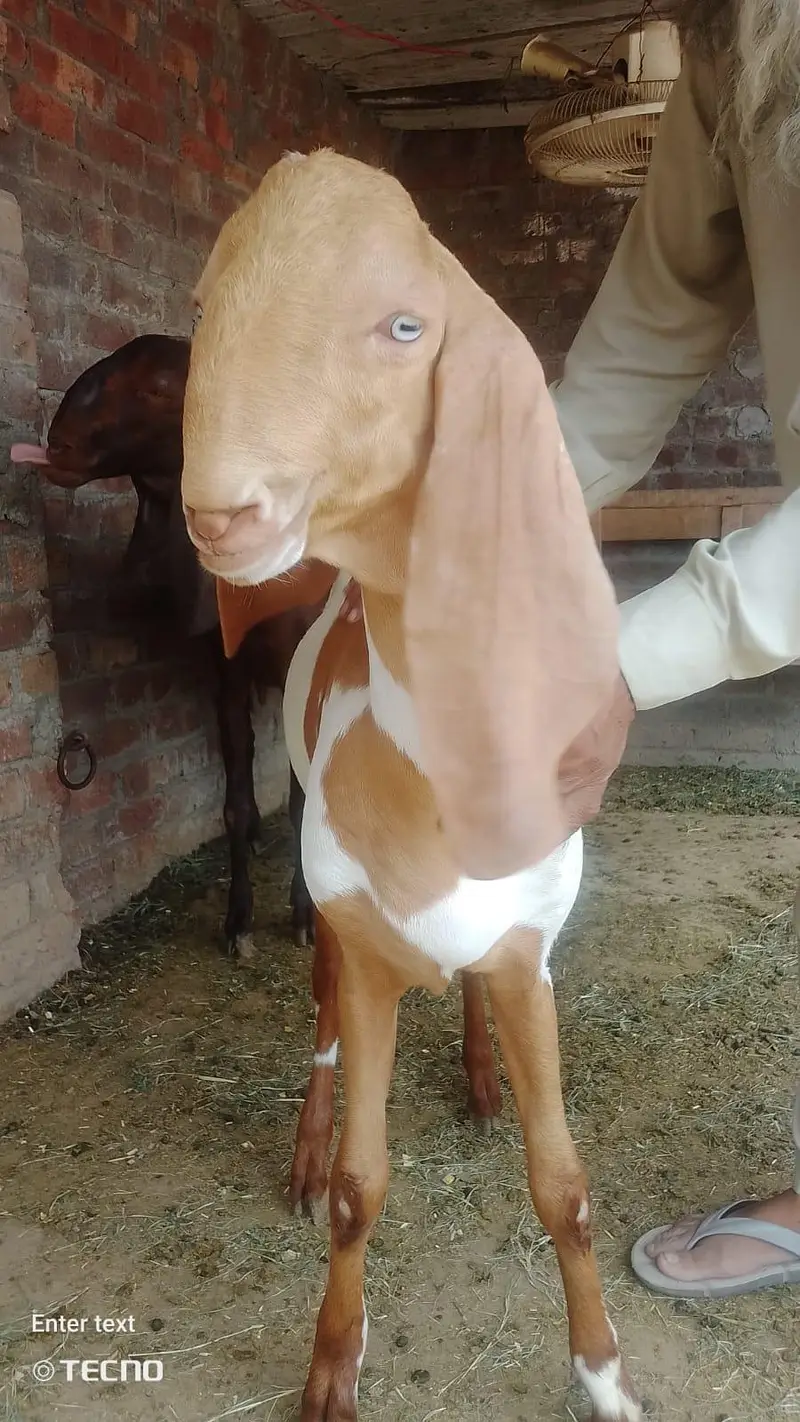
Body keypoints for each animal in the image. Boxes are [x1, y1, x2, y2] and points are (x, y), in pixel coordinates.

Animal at [10, 334, 335, 957]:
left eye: (160, 389)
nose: (57, 444)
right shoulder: (226, 670)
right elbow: (235, 803)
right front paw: (238, 922)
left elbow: (301, 795)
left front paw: (304, 914)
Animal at [180, 151, 637, 1421]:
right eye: (203, 308)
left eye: (403, 326)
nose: (224, 512)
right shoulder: (361, 937)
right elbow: (359, 1184)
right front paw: (331, 1365)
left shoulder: (529, 949)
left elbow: (563, 1183)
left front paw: (603, 1375)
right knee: (322, 1024)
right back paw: (306, 1133)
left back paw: (477, 1073)